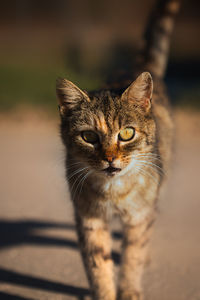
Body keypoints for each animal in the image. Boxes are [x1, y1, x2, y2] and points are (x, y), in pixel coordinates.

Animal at [55, 0, 180, 300]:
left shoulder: (139, 217)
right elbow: (98, 264)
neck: (114, 192)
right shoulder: (88, 218)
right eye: (89, 136)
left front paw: (130, 288)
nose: (110, 159)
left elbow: (133, 255)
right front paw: (105, 292)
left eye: (126, 133)